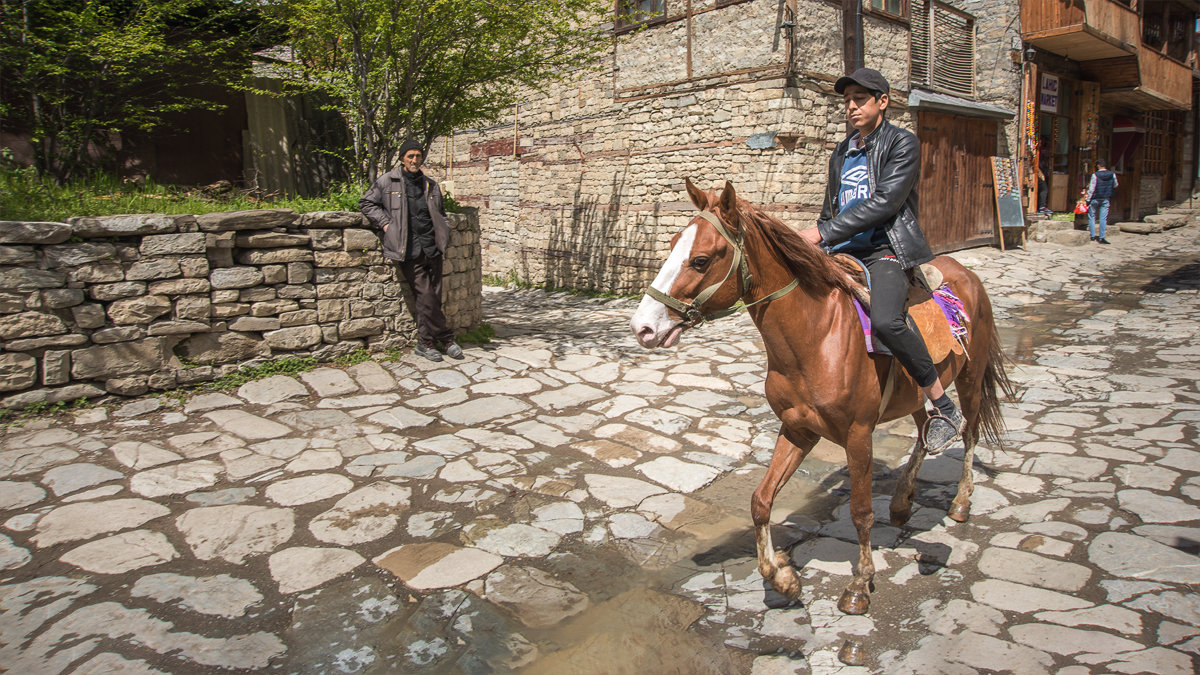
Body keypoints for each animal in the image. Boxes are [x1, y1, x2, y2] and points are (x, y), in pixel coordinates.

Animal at [628, 176, 1012, 612]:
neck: (817, 336)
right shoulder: (798, 428)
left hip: (970, 378)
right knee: (923, 431)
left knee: (968, 431)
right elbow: (760, 500)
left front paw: (859, 585)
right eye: (673, 242)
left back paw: (960, 501)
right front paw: (782, 578)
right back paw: (901, 502)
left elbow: (860, 511)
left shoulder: (858, 434)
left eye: (701, 260)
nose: (642, 327)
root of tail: (965, 273)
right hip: (915, 392)